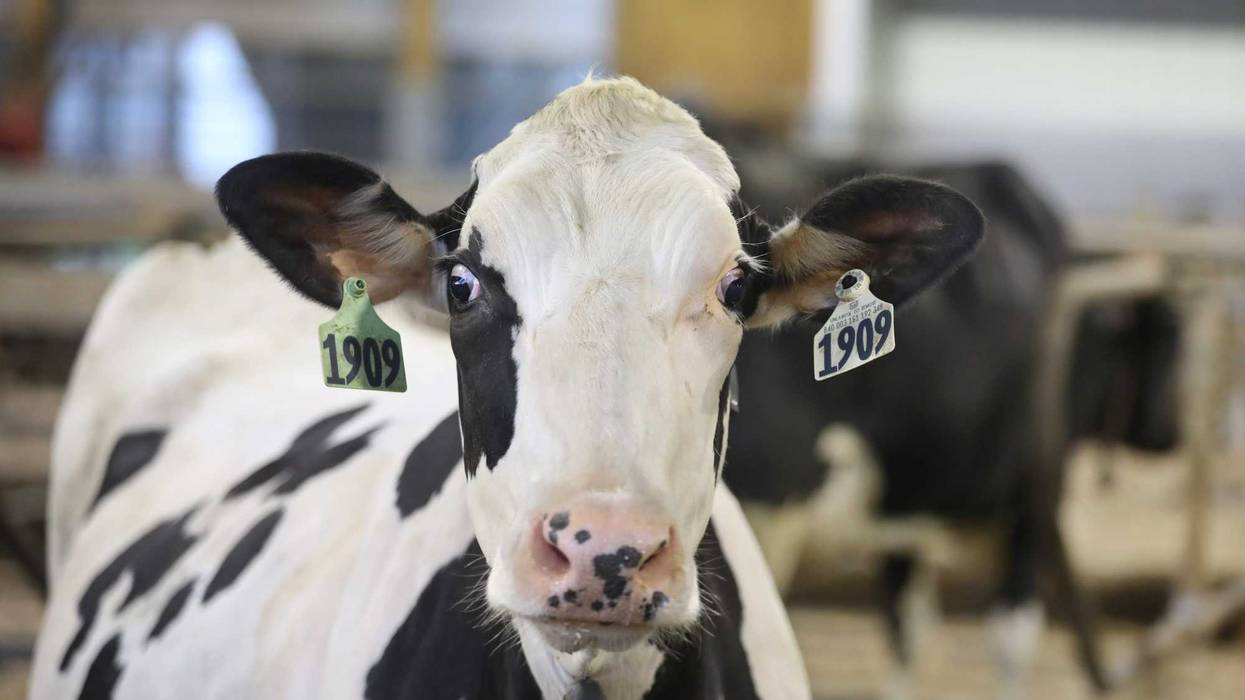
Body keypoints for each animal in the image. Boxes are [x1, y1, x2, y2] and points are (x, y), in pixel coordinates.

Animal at [720, 158, 1180, 700]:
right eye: (1168, 342)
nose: (1171, 430)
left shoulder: (905, 500)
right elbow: (1011, 637)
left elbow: (907, 624)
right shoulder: (1033, 496)